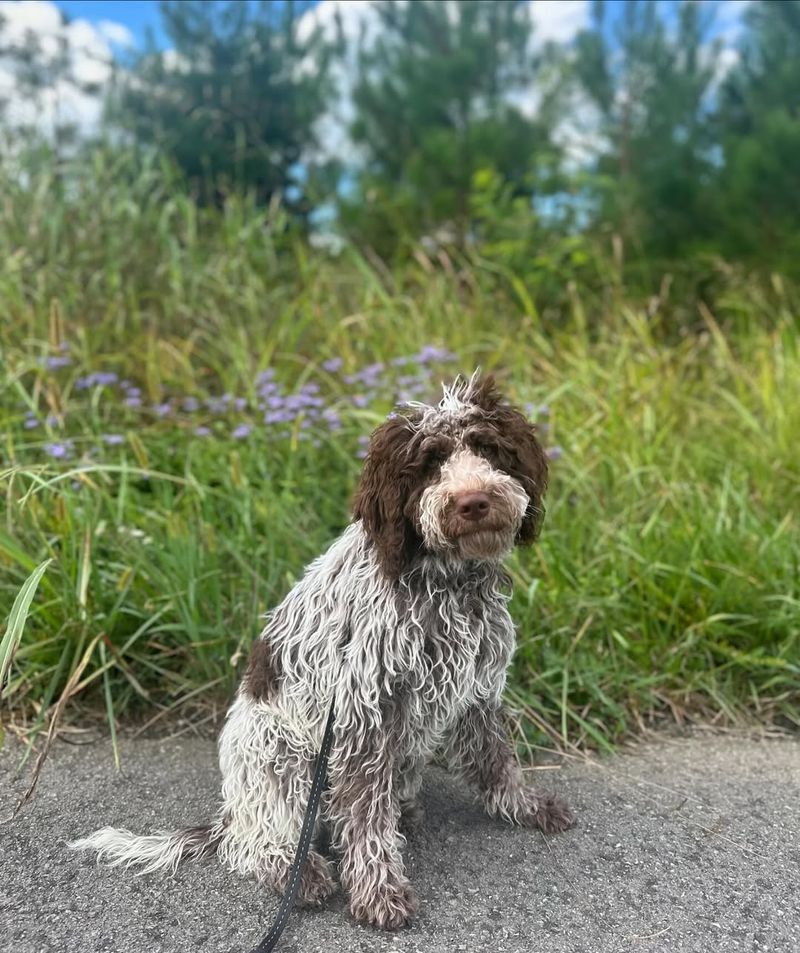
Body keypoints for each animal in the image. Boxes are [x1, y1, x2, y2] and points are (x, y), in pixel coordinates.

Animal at [72, 372, 576, 928]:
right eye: (428, 463)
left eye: (487, 447)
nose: (473, 502)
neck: (444, 580)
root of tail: (230, 815)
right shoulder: (364, 713)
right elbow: (365, 816)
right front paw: (379, 891)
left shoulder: (477, 690)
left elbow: (498, 760)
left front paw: (526, 807)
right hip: (279, 754)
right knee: (252, 844)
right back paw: (298, 871)